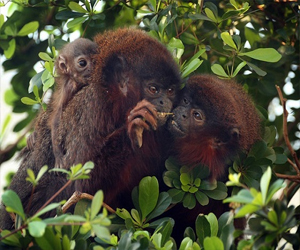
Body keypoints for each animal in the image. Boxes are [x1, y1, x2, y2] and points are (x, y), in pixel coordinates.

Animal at [0, 28, 180, 229]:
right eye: (153, 89)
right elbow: (74, 185)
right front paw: (133, 128)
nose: (165, 103)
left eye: (171, 91)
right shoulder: (91, 107)